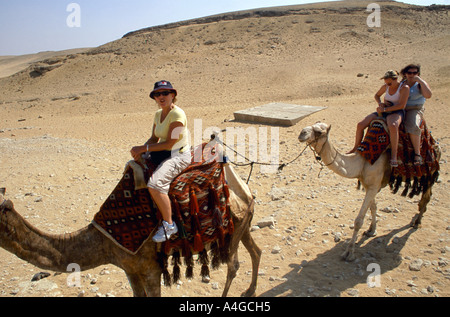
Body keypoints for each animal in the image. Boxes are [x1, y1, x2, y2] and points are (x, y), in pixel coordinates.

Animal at [0, 160, 260, 296]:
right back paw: (249, 291)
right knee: (255, 252)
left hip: (233, 231)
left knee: (233, 265)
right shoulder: (129, 268)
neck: (103, 240)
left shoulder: (150, 267)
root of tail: (245, 189)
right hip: (243, 224)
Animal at [298, 122, 442, 260]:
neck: (362, 162)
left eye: (319, 131)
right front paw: (371, 230)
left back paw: (417, 222)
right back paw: (415, 219)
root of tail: (435, 143)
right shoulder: (369, 185)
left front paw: (349, 253)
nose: (301, 133)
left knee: (426, 197)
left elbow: (358, 221)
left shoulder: (373, 186)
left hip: (430, 173)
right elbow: (373, 207)